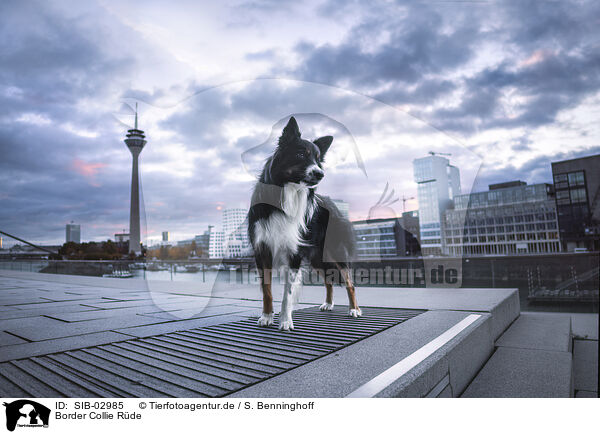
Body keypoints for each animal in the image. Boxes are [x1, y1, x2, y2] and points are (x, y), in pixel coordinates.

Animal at [247, 117, 360, 330]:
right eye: (300, 154)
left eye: (318, 159)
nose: (320, 173)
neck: (287, 192)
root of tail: (334, 204)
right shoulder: (262, 249)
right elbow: (267, 289)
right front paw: (266, 316)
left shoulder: (294, 252)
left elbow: (288, 293)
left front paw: (285, 321)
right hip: (317, 257)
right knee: (329, 280)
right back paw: (328, 304)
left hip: (336, 251)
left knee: (349, 282)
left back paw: (354, 309)